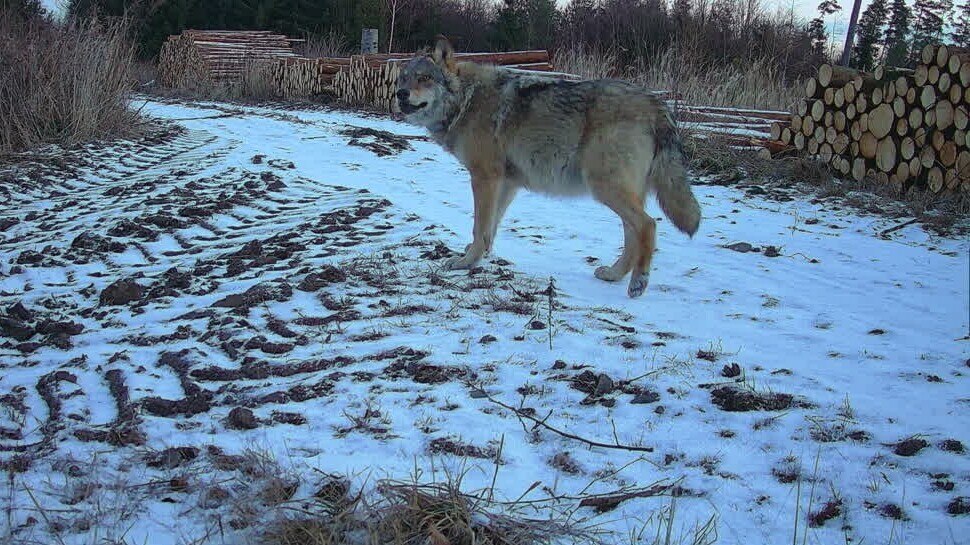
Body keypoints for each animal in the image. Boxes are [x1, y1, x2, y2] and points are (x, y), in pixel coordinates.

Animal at [394, 36, 701, 298]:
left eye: (424, 78)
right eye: (404, 78)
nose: (400, 94)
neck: (466, 100)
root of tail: (658, 104)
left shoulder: (485, 177)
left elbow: (479, 226)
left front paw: (465, 261)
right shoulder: (507, 183)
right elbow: (490, 227)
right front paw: (479, 255)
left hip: (604, 186)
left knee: (648, 225)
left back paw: (638, 282)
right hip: (617, 190)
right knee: (632, 233)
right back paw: (614, 274)